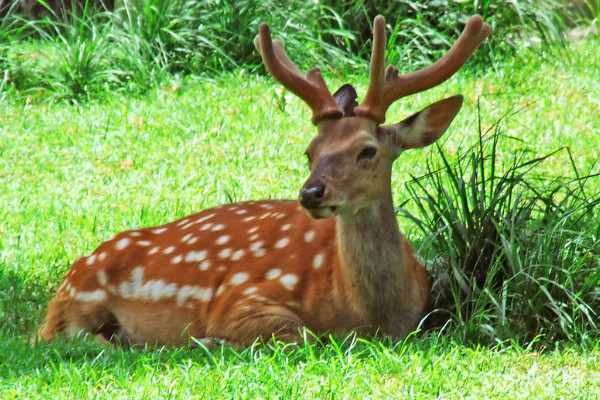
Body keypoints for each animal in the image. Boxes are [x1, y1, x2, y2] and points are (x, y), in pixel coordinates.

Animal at [36, 14, 488, 346]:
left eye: (368, 150)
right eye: (310, 150)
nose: (311, 193)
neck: (369, 314)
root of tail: (70, 272)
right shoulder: (240, 299)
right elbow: (304, 336)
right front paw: (210, 341)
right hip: (75, 306)